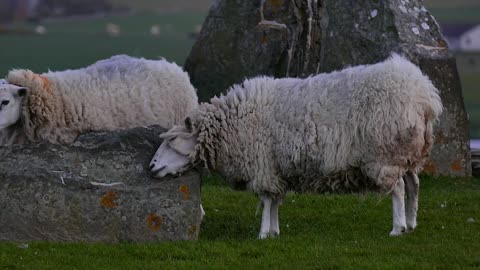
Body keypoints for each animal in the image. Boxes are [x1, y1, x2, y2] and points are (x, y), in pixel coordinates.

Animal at [149, 54, 442, 238]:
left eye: (172, 141)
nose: (151, 166)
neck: (233, 123)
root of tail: (423, 95)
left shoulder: (262, 165)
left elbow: (266, 200)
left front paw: (263, 233)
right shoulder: (275, 168)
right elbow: (275, 200)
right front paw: (274, 230)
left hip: (386, 155)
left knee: (399, 189)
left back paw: (398, 228)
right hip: (409, 155)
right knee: (414, 185)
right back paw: (412, 223)